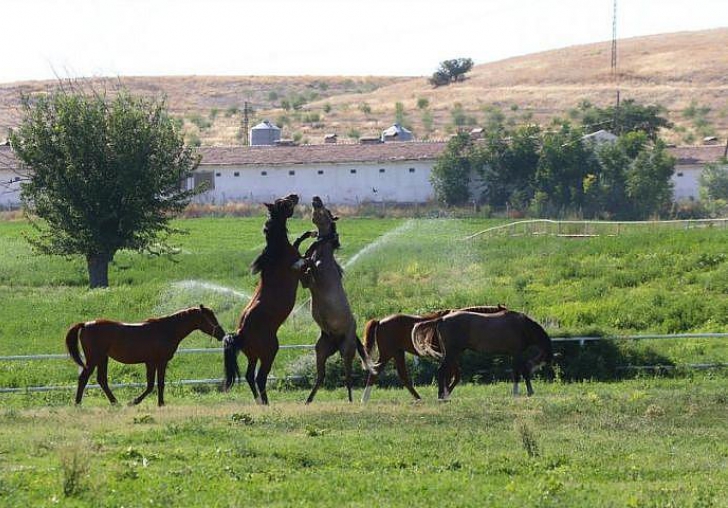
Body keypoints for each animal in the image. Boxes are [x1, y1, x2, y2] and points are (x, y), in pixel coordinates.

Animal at [65, 304, 225, 406]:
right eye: (209, 317)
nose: (222, 334)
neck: (166, 329)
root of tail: (85, 324)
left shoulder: (153, 362)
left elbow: (156, 384)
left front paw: (159, 403)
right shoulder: (158, 362)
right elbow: (154, 385)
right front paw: (136, 402)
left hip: (103, 358)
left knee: (102, 380)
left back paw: (115, 402)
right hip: (94, 359)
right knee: (84, 378)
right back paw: (78, 404)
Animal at [222, 194, 308, 404]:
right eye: (283, 202)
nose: (294, 195)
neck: (276, 251)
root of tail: (240, 334)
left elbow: (298, 242)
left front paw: (309, 233)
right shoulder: (298, 270)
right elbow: (304, 258)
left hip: (253, 356)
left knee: (249, 376)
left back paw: (259, 402)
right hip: (270, 351)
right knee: (260, 377)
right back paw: (266, 402)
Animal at [298, 196, 376, 402]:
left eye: (326, 210)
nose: (316, 198)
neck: (322, 257)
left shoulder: (315, 277)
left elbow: (307, 263)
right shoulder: (307, 282)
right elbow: (304, 263)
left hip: (346, 350)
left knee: (348, 376)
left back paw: (350, 400)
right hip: (321, 350)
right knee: (321, 376)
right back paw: (308, 400)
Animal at [360, 306, 506, 400]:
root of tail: (380, 321)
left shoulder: (451, 356)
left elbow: (453, 375)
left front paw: (445, 393)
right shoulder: (451, 355)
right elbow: (454, 375)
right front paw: (445, 393)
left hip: (398, 353)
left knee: (403, 376)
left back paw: (418, 398)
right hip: (387, 353)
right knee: (376, 372)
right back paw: (364, 399)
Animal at [410, 310, 552, 400]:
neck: (523, 326)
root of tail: (441, 319)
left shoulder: (516, 354)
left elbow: (521, 372)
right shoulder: (517, 354)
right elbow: (519, 373)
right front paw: (520, 392)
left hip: (451, 354)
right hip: (452, 353)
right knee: (441, 371)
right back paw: (442, 396)